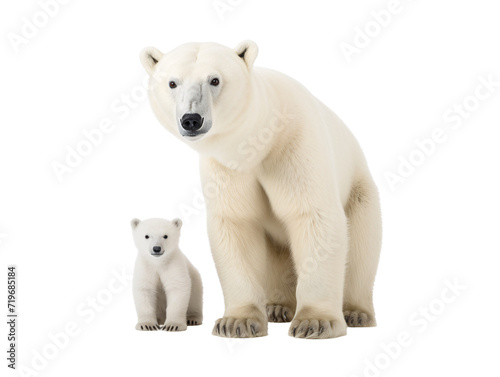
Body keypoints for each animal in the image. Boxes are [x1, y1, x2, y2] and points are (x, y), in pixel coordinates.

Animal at [139, 40, 380, 338]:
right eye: (172, 83)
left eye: (215, 80)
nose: (191, 119)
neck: (258, 143)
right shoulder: (227, 170)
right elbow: (237, 226)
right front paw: (237, 322)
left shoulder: (295, 147)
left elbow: (313, 217)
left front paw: (314, 321)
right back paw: (277, 307)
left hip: (361, 192)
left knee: (361, 249)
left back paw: (356, 312)